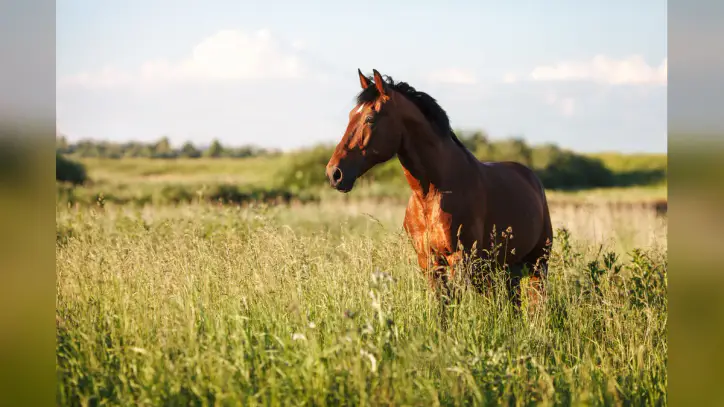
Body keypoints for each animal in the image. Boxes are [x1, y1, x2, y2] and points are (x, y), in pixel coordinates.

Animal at [325, 69, 553, 318]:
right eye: (350, 116)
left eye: (370, 118)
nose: (334, 173)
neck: (431, 194)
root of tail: (531, 178)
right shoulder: (429, 262)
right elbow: (441, 309)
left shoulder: (460, 260)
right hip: (505, 268)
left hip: (536, 263)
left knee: (537, 302)